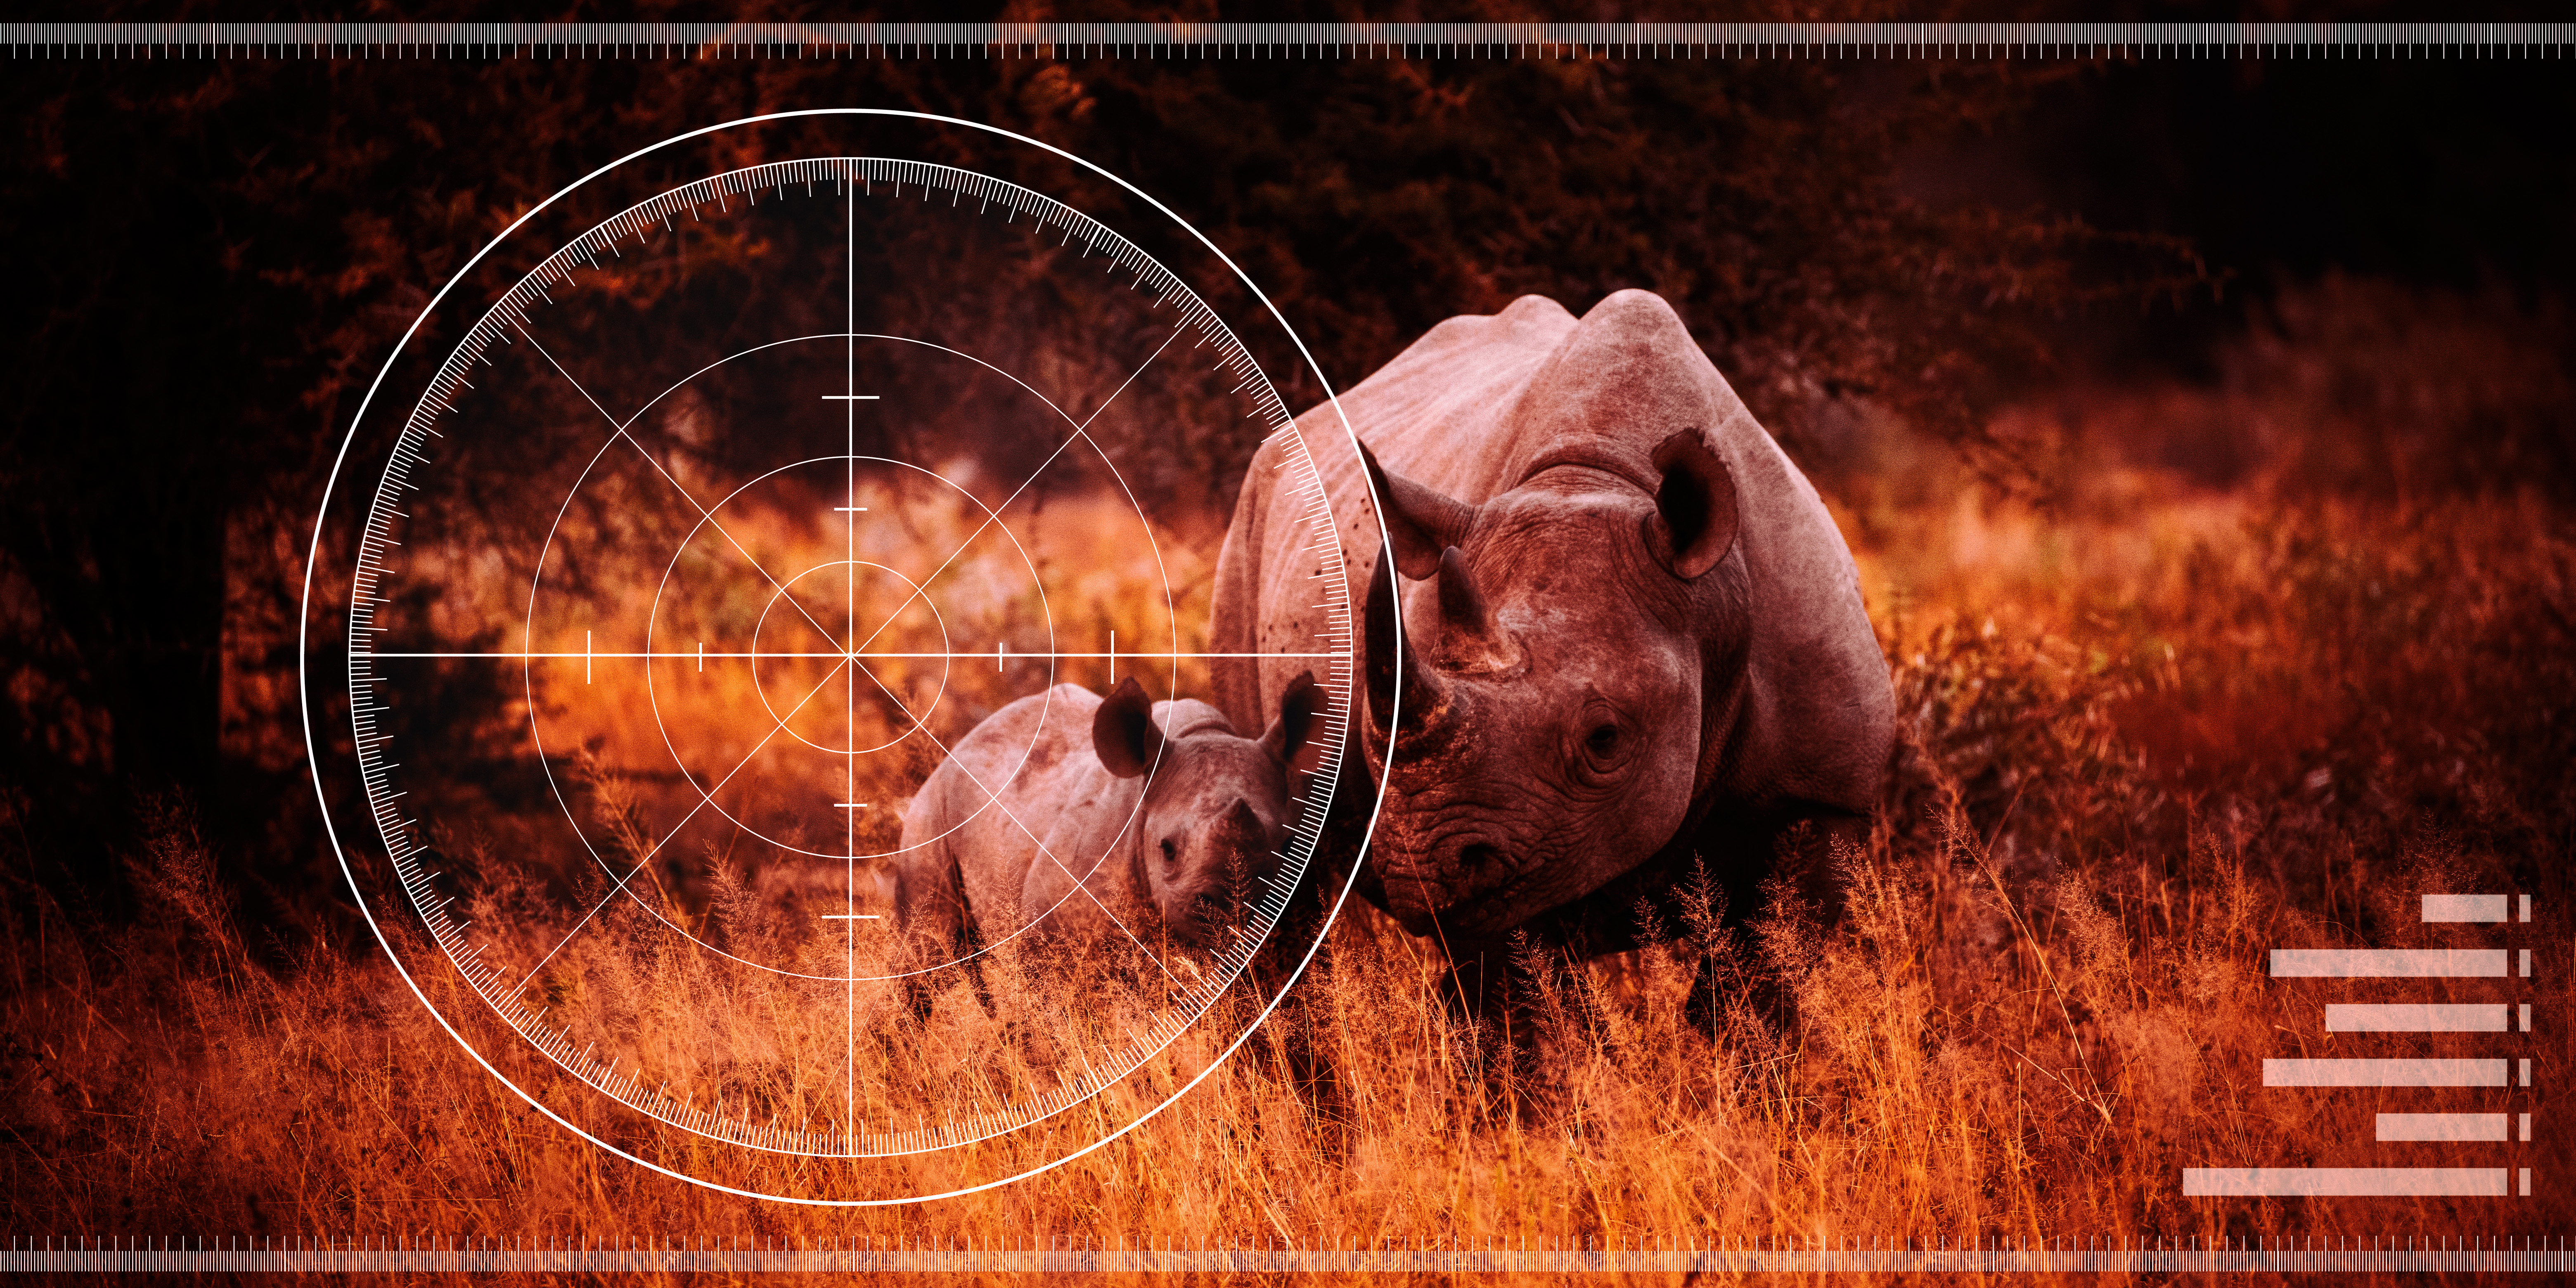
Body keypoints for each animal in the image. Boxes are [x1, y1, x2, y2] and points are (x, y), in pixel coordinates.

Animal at [889, 675, 1329, 970]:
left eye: (1287, 846)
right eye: (1167, 850)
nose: (1233, 909)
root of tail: (955, 749)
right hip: (929, 817)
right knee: (931, 956)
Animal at [1211, 290, 1893, 1004]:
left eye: (1605, 740)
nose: (1425, 870)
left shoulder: (1821, 796)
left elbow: (1761, 979)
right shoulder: (1512, 851)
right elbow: (1514, 1000)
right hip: (1245, 539)